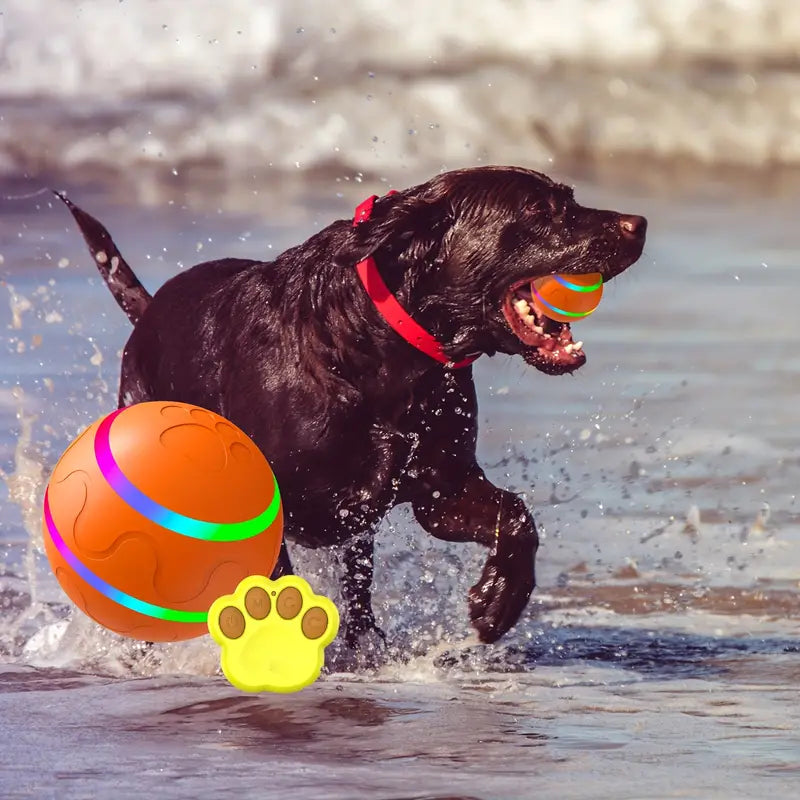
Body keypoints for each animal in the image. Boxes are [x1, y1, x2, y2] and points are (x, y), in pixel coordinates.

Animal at [61, 166, 648, 652]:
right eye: (539, 210)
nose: (639, 223)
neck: (384, 352)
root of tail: (148, 311)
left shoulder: (442, 489)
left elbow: (516, 516)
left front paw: (499, 600)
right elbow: (277, 584)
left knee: (359, 580)